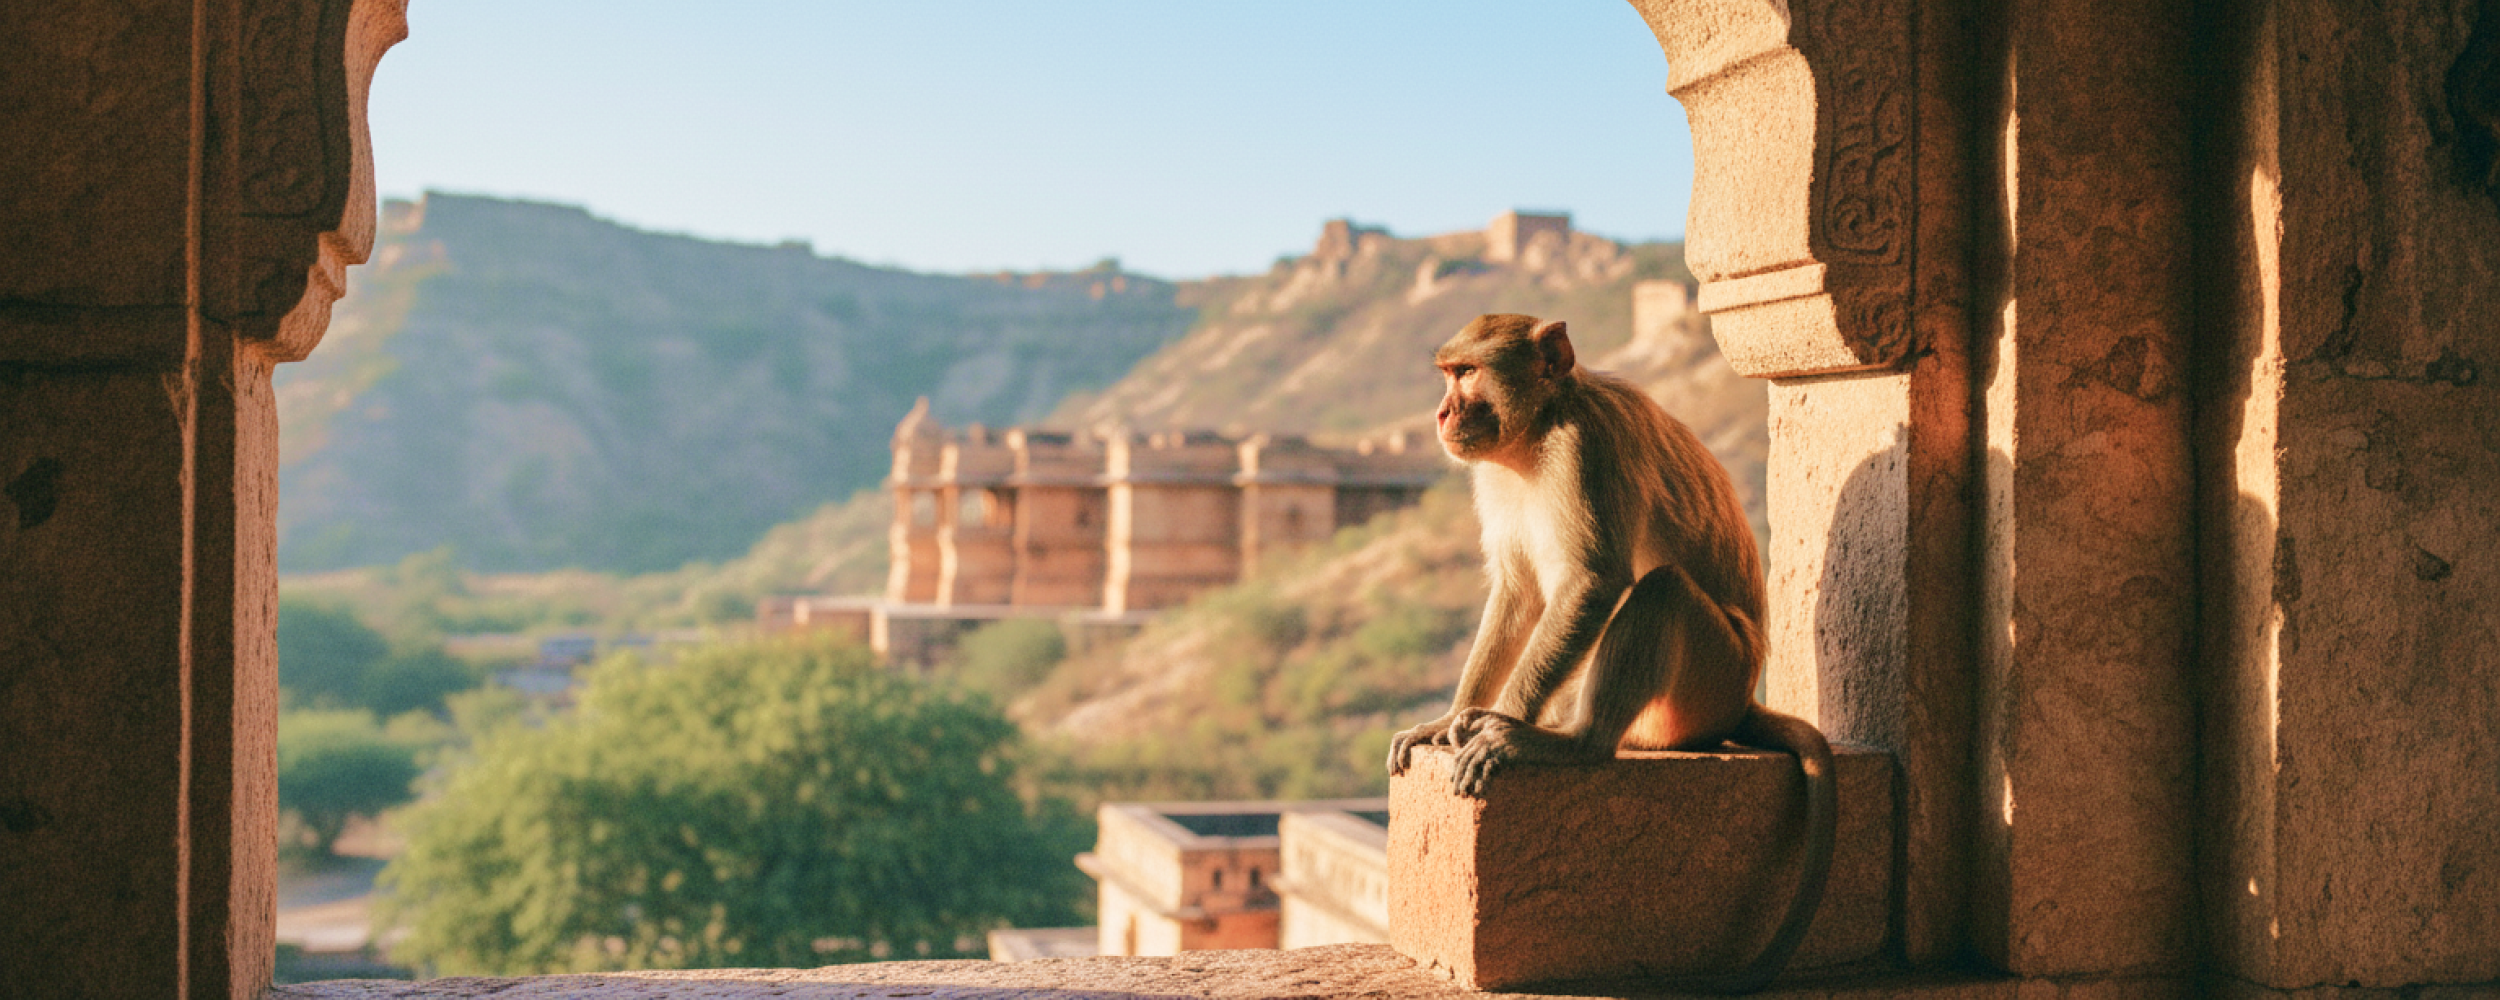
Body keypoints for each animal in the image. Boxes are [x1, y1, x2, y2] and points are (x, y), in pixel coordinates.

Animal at [1386, 313, 1836, 995]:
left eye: (1467, 373)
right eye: (1448, 373)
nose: (1441, 412)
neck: (1540, 428)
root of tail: (1742, 703)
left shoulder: (1585, 452)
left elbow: (1594, 583)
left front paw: (1497, 726)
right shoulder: (1494, 472)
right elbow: (1518, 594)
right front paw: (1449, 720)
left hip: (1711, 681)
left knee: (1663, 592)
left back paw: (1576, 743)